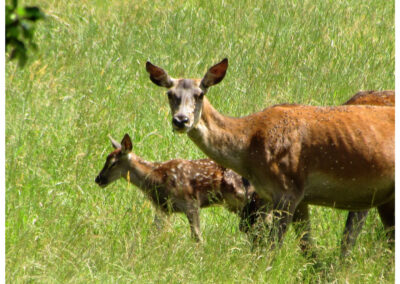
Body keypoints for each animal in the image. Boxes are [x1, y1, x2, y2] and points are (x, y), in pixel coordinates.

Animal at [94, 133, 253, 242]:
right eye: (106, 159)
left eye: (113, 163)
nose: (98, 179)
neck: (155, 178)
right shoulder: (163, 208)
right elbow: (154, 232)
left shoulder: (191, 202)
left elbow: (197, 236)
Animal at [146, 58, 394, 252]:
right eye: (170, 94)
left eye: (199, 94)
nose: (181, 120)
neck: (249, 150)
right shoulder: (292, 196)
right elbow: (307, 248)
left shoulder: (287, 189)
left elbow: (275, 249)